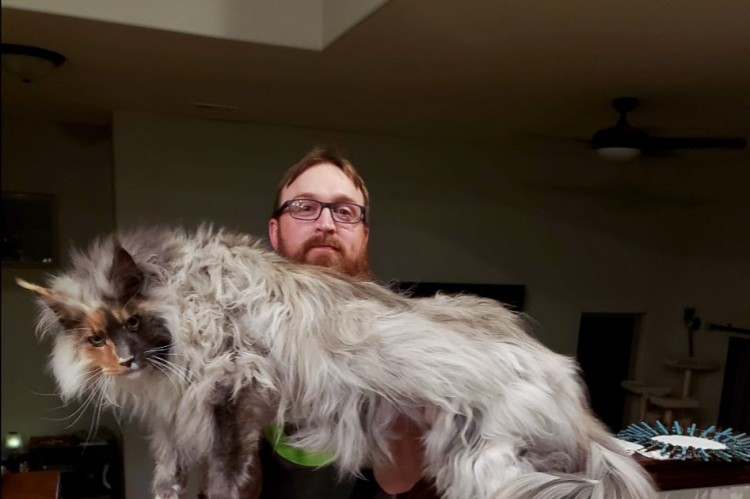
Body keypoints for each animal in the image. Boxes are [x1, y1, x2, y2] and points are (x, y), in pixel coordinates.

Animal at [17, 228, 656, 499]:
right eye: (96, 339)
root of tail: (557, 370)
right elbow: (169, 475)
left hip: (490, 463)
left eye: (131, 322)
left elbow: (223, 475)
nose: (125, 361)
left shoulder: (235, 387)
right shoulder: (175, 418)